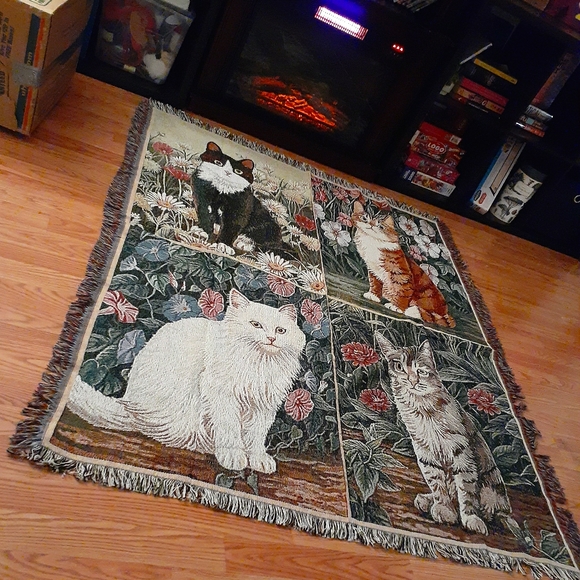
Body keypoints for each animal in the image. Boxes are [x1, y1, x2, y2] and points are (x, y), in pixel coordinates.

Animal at [68, 289, 306, 474]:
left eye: (281, 330)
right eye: (255, 324)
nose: (271, 339)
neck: (258, 364)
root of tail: (129, 405)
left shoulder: (264, 406)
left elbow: (256, 436)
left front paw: (257, 460)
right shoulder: (222, 395)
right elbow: (229, 429)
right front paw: (233, 455)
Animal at [375, 333, 513, 535]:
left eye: (421, 371)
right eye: (399, 367)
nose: (412, 381)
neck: (422, 409)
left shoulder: (462, 452)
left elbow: (467, 489)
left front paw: (470, 518)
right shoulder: (424, 451)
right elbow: (437, 484)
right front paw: (444, 509)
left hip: (492, 486)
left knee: (492, 506)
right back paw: (427, 500)